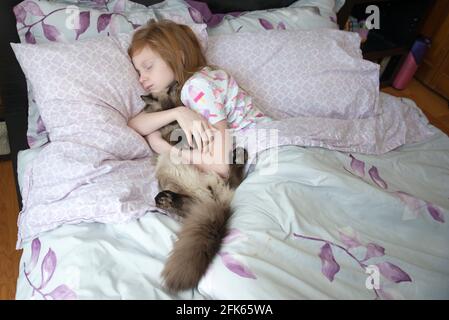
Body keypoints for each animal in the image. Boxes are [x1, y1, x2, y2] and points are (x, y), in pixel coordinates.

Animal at [141, 81, 247, 292]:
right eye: (169, 89)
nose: (175, 82)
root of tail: (217, 204)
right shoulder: (170, 136)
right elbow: (178, 137)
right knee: (192, 201)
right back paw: (166, 198)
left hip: (210, 184)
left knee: (231, 182)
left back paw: (240, 154)